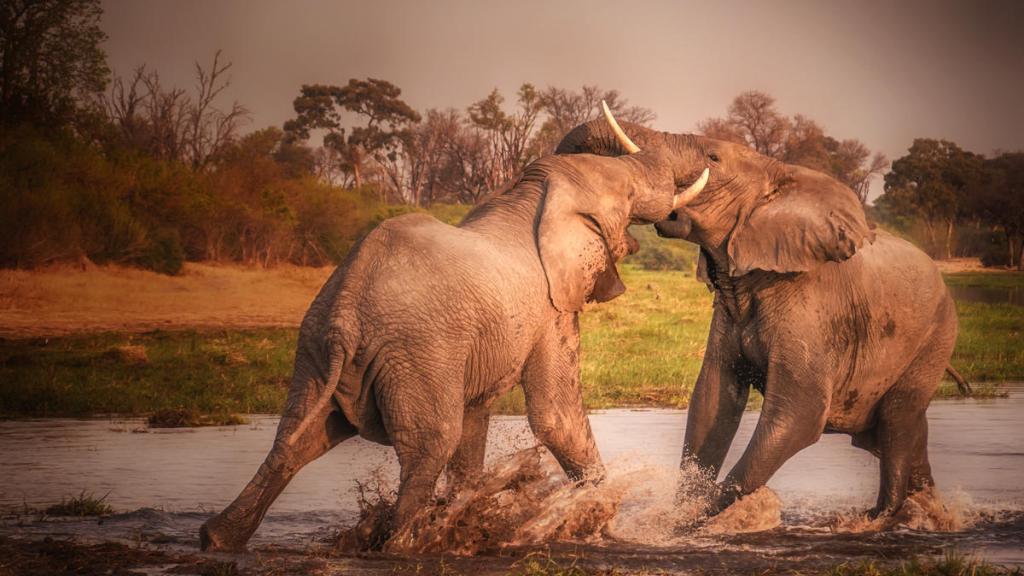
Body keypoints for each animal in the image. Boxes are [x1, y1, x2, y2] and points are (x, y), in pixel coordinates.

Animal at [198, 107, 711, 552]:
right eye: (628, 194)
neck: (529, 195)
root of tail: (347, 307)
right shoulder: (551, 307)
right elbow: (555, 416)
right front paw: (597, 523)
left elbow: (476, 420)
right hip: (416, 352)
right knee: (429, 447)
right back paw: (404, 543)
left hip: (315, 348)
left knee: (294, 440)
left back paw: (218, 539)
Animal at [556, 119, 959, 519]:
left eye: (713, 158)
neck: (775, 170)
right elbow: (712, 400)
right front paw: (681, 516)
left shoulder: (810, 306)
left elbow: (800, 414)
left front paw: (695, 519)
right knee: (901, 434)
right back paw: (928, 511)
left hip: (934, 339)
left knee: (897, 422)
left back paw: (879, 518)